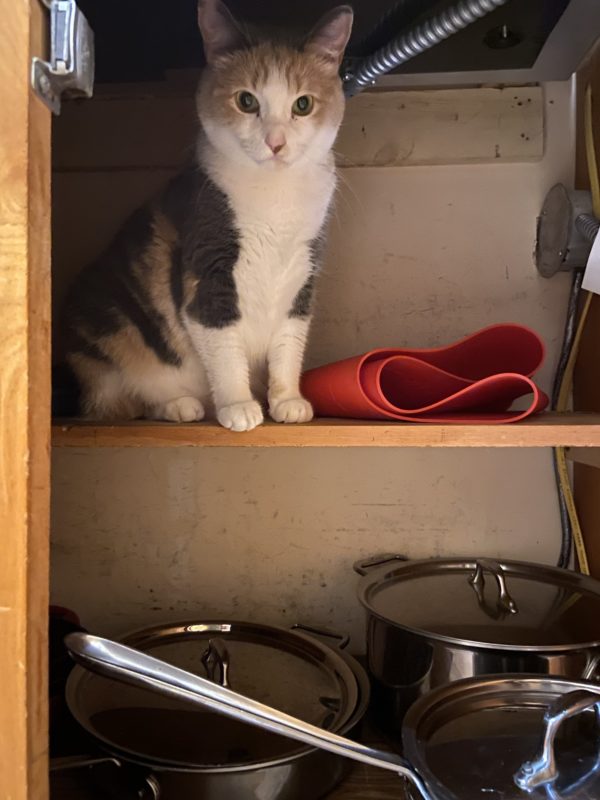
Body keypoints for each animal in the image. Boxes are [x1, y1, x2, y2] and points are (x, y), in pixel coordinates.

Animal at [64, 0, 356, 432]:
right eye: (247, 101)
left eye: (302, 104)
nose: (275, 143)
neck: (276, 197)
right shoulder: (207, 268)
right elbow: (222, 344)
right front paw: (238, 405)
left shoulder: (305, 271)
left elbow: (290, 342)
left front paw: (287, 400)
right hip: (106, 318)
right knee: (119, 402)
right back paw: (178, 405)